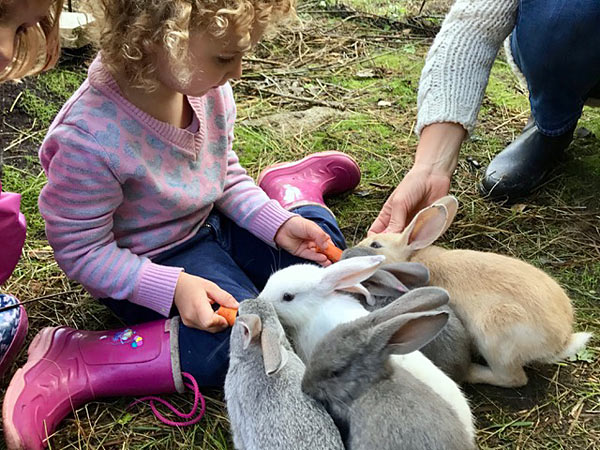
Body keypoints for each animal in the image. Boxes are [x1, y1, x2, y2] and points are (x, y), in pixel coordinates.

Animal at [356, 195, 592, 388]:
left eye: (375, 245)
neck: (412, 257)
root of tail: (560, 342)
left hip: (495, 337)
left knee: (513, 379)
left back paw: (471, 372)